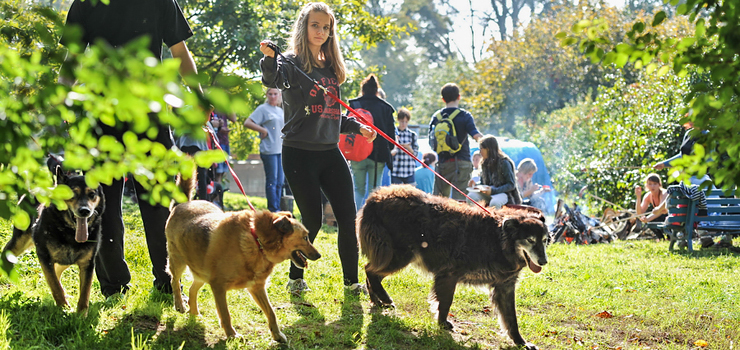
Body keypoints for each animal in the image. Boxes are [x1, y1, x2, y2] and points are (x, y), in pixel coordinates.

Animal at [0, 165, 104, 316]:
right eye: (72, 194)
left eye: (92, 194)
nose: (84, 211)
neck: (69, 231)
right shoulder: (44, 256)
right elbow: (55, 286)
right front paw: (64, 309)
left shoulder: (87, 263)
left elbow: (85, 292)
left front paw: (81, 315)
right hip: (19, 242)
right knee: (5, 255)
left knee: (57, 271)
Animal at [165, 198, 320, 340]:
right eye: (305, 238)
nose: (319, 255)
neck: (257, 241)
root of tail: (184, 203)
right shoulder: (218, 287)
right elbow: (225, 314)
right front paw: (231, 335)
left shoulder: (256, 287)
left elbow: (271, 312)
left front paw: (277, 335)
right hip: (178, 262)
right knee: (174, 282)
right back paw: (179, 304)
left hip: (202, 273)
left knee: (192, 289)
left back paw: (195, 313)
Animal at [356, 185, 548, 348]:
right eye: (530, 240)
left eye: (545, 240)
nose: (544, 261)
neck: (498, 238)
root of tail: (375, 197)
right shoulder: (448, 275)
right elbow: (445, 303)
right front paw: (442, 324)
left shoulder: (505, 287)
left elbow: (511, 319)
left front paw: (521, 342)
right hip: (399, 256)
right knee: (370, 271)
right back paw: (384, 298)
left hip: (395, 256)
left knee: (370, 271)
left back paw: (377, 300)